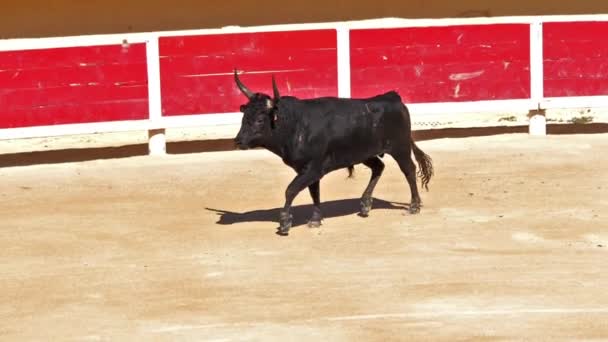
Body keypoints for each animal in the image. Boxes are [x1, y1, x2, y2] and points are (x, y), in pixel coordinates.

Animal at [233, 69, 432, 235]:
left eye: (260, 120)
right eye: (244, 117)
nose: (238, 141)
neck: (295, 125)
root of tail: (393, 97)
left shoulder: (312, 168)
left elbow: (290, 190)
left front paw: (285, 223)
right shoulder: (308, 170)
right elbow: (314, 192)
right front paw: (315, 219)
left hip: (400, 147)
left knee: (409, 170)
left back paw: (414, 206)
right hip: (363, 153)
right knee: (378, 167)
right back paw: (365, 205)